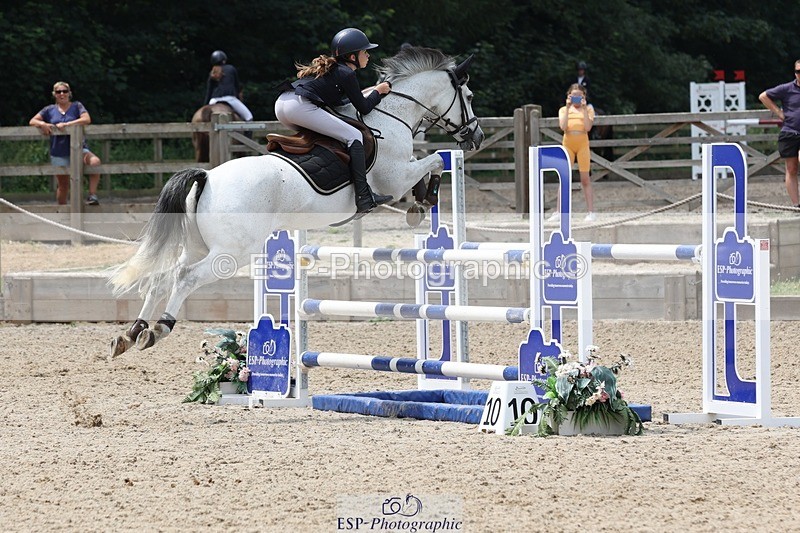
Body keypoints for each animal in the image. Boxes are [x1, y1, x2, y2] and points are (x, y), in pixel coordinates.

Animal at [109, 46, 485, 357]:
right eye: (468, 95)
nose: (477, 137)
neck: (392, 115)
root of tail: (208, 177)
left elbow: (428, 161)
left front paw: (420, 202)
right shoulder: (395, 177)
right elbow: (433, 161)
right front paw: (423, 201)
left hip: (197, 245)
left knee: (162, 277)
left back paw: (132, 334)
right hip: (231, 252)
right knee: (185, 278)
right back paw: (159, 328)